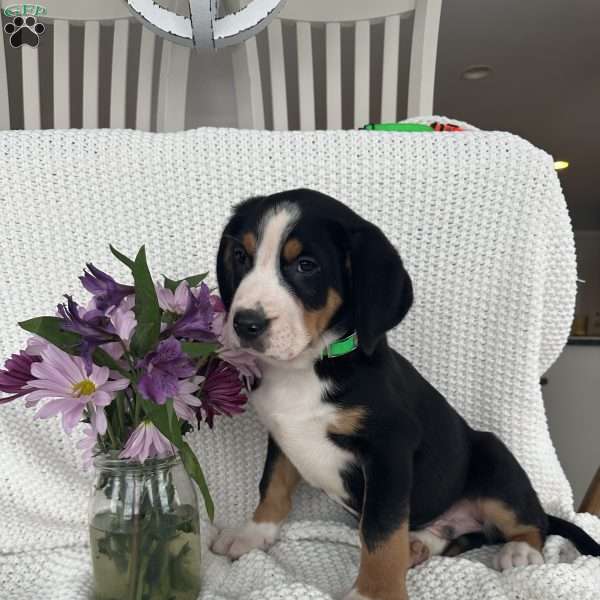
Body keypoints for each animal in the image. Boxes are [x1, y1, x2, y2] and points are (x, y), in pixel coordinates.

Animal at [212, 189, 600, 600]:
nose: (246, 323)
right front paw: (252, 535)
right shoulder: (282, 434)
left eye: (306, 265)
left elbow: (380, 534)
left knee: (533, 520)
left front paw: (373, 593)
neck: (307, 368)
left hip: (497, 463)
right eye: (240, 256)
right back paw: (419, 546)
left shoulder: (389, 452)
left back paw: (521, 551)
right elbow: (272, 487)